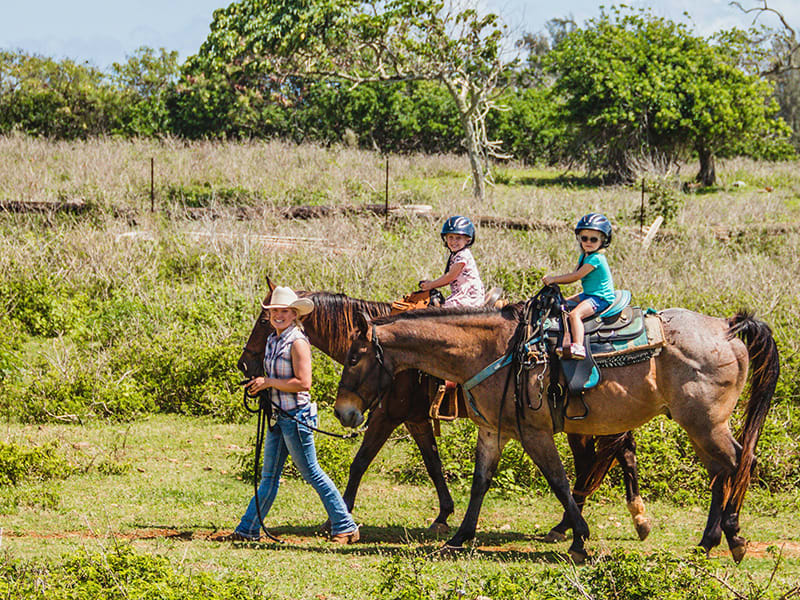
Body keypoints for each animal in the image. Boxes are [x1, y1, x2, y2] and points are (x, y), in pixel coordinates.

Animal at [238, 280, 648, 540]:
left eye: (265, 319)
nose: (245, 365)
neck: (400, 359)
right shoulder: (416, 419)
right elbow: (433, 464)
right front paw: (444, 516)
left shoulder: (388, 416)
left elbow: (360, 462)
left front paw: (340, 516)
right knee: (605, 459)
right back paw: (590, 522)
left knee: (608, 457)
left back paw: (603, 521)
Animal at [334, 304, 780, 564]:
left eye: (354, 357)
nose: (343, 412)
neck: (494, 350)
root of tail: (726, 328)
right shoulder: (493, 432)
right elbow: (480, 483)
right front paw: (460, 535)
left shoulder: (535, 433)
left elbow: (560, 482)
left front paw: (579, 538)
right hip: (700, 427)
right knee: (722, 471)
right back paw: (709, 540)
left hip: (704, 424)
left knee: (738, 463)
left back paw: (732, 536)